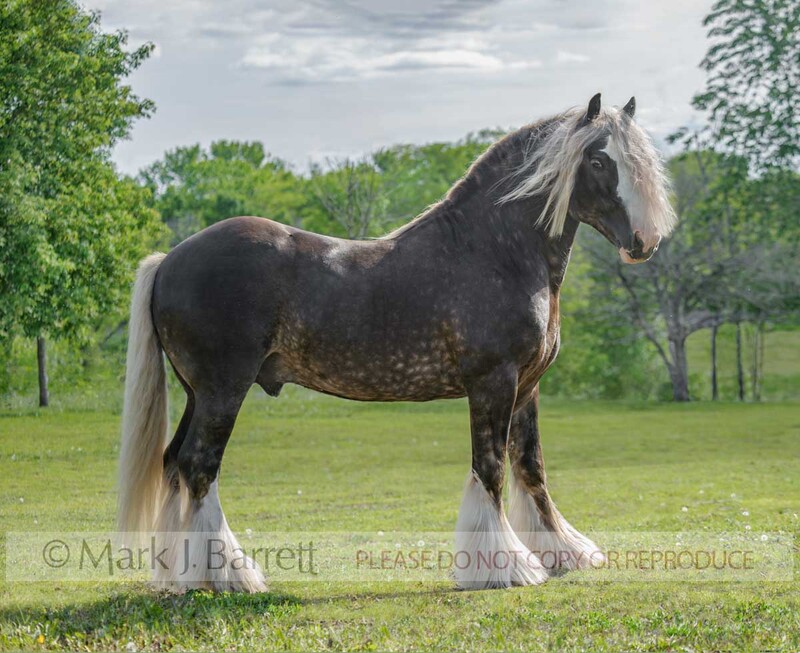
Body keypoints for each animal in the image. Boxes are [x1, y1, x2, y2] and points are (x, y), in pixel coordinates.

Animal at [117, 93, 676, 592]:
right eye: (599, 160)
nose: (644, 242)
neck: (493, 251)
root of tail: (169, 259)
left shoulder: (528, 386)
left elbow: (530, 467)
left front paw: (562, 553)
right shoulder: (492, 381)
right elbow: (491, 469)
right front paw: (503, 568)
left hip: (197, 393)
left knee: (174, 464)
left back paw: (181, 576)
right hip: (223, 391)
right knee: (199, 467)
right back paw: (232, 577)